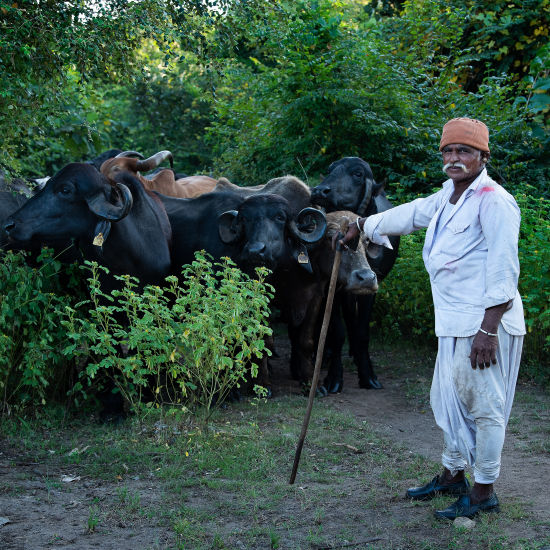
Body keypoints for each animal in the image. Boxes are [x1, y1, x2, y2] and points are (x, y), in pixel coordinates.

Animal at [312, 158, 398, 392]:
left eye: (358, 173)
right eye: (330, 170)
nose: (320, 191)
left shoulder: (371, 286)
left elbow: (361, 332)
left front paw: (368, 375)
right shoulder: (331, 288)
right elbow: (336, 331)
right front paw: (334, 378)